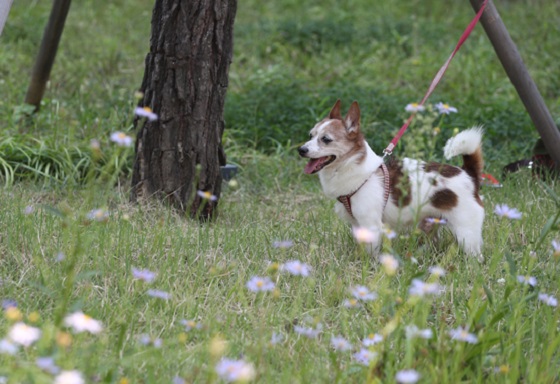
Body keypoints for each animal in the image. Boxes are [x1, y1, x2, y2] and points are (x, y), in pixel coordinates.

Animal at [298, 100, 486, 258]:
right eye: (310, 135)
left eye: (326, 139)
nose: (301, 149)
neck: (355, 170)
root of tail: (469, 175)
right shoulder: (357, 226)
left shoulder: (371, 226)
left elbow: (372, 253)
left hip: (466, 233)